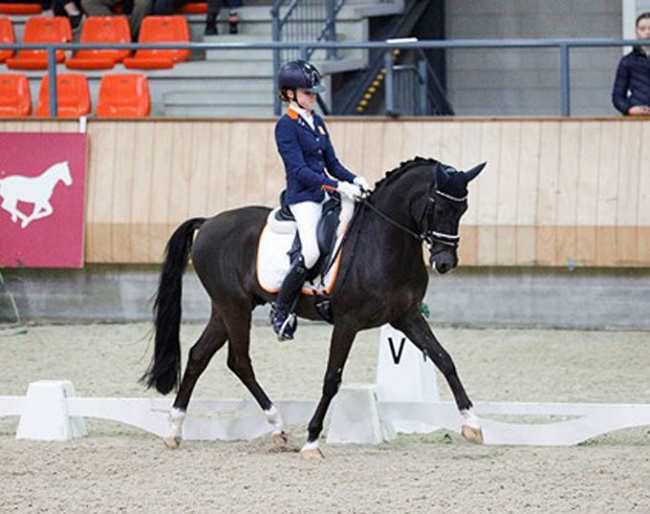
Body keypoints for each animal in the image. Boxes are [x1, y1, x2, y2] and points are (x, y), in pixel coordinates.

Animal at [144, 156, 484, 456]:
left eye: (464, 208)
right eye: (438, 206)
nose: (445, 262)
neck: (383, 241)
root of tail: (208, 222)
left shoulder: (407, 316)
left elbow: (444, 359)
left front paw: (472, 424)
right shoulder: (348, 322)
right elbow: (331, 379)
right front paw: (311, 441)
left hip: (225, 308)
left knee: (199, 356)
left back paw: (176, 431)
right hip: (234, 306)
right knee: (239, 361)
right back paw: (277, 426)